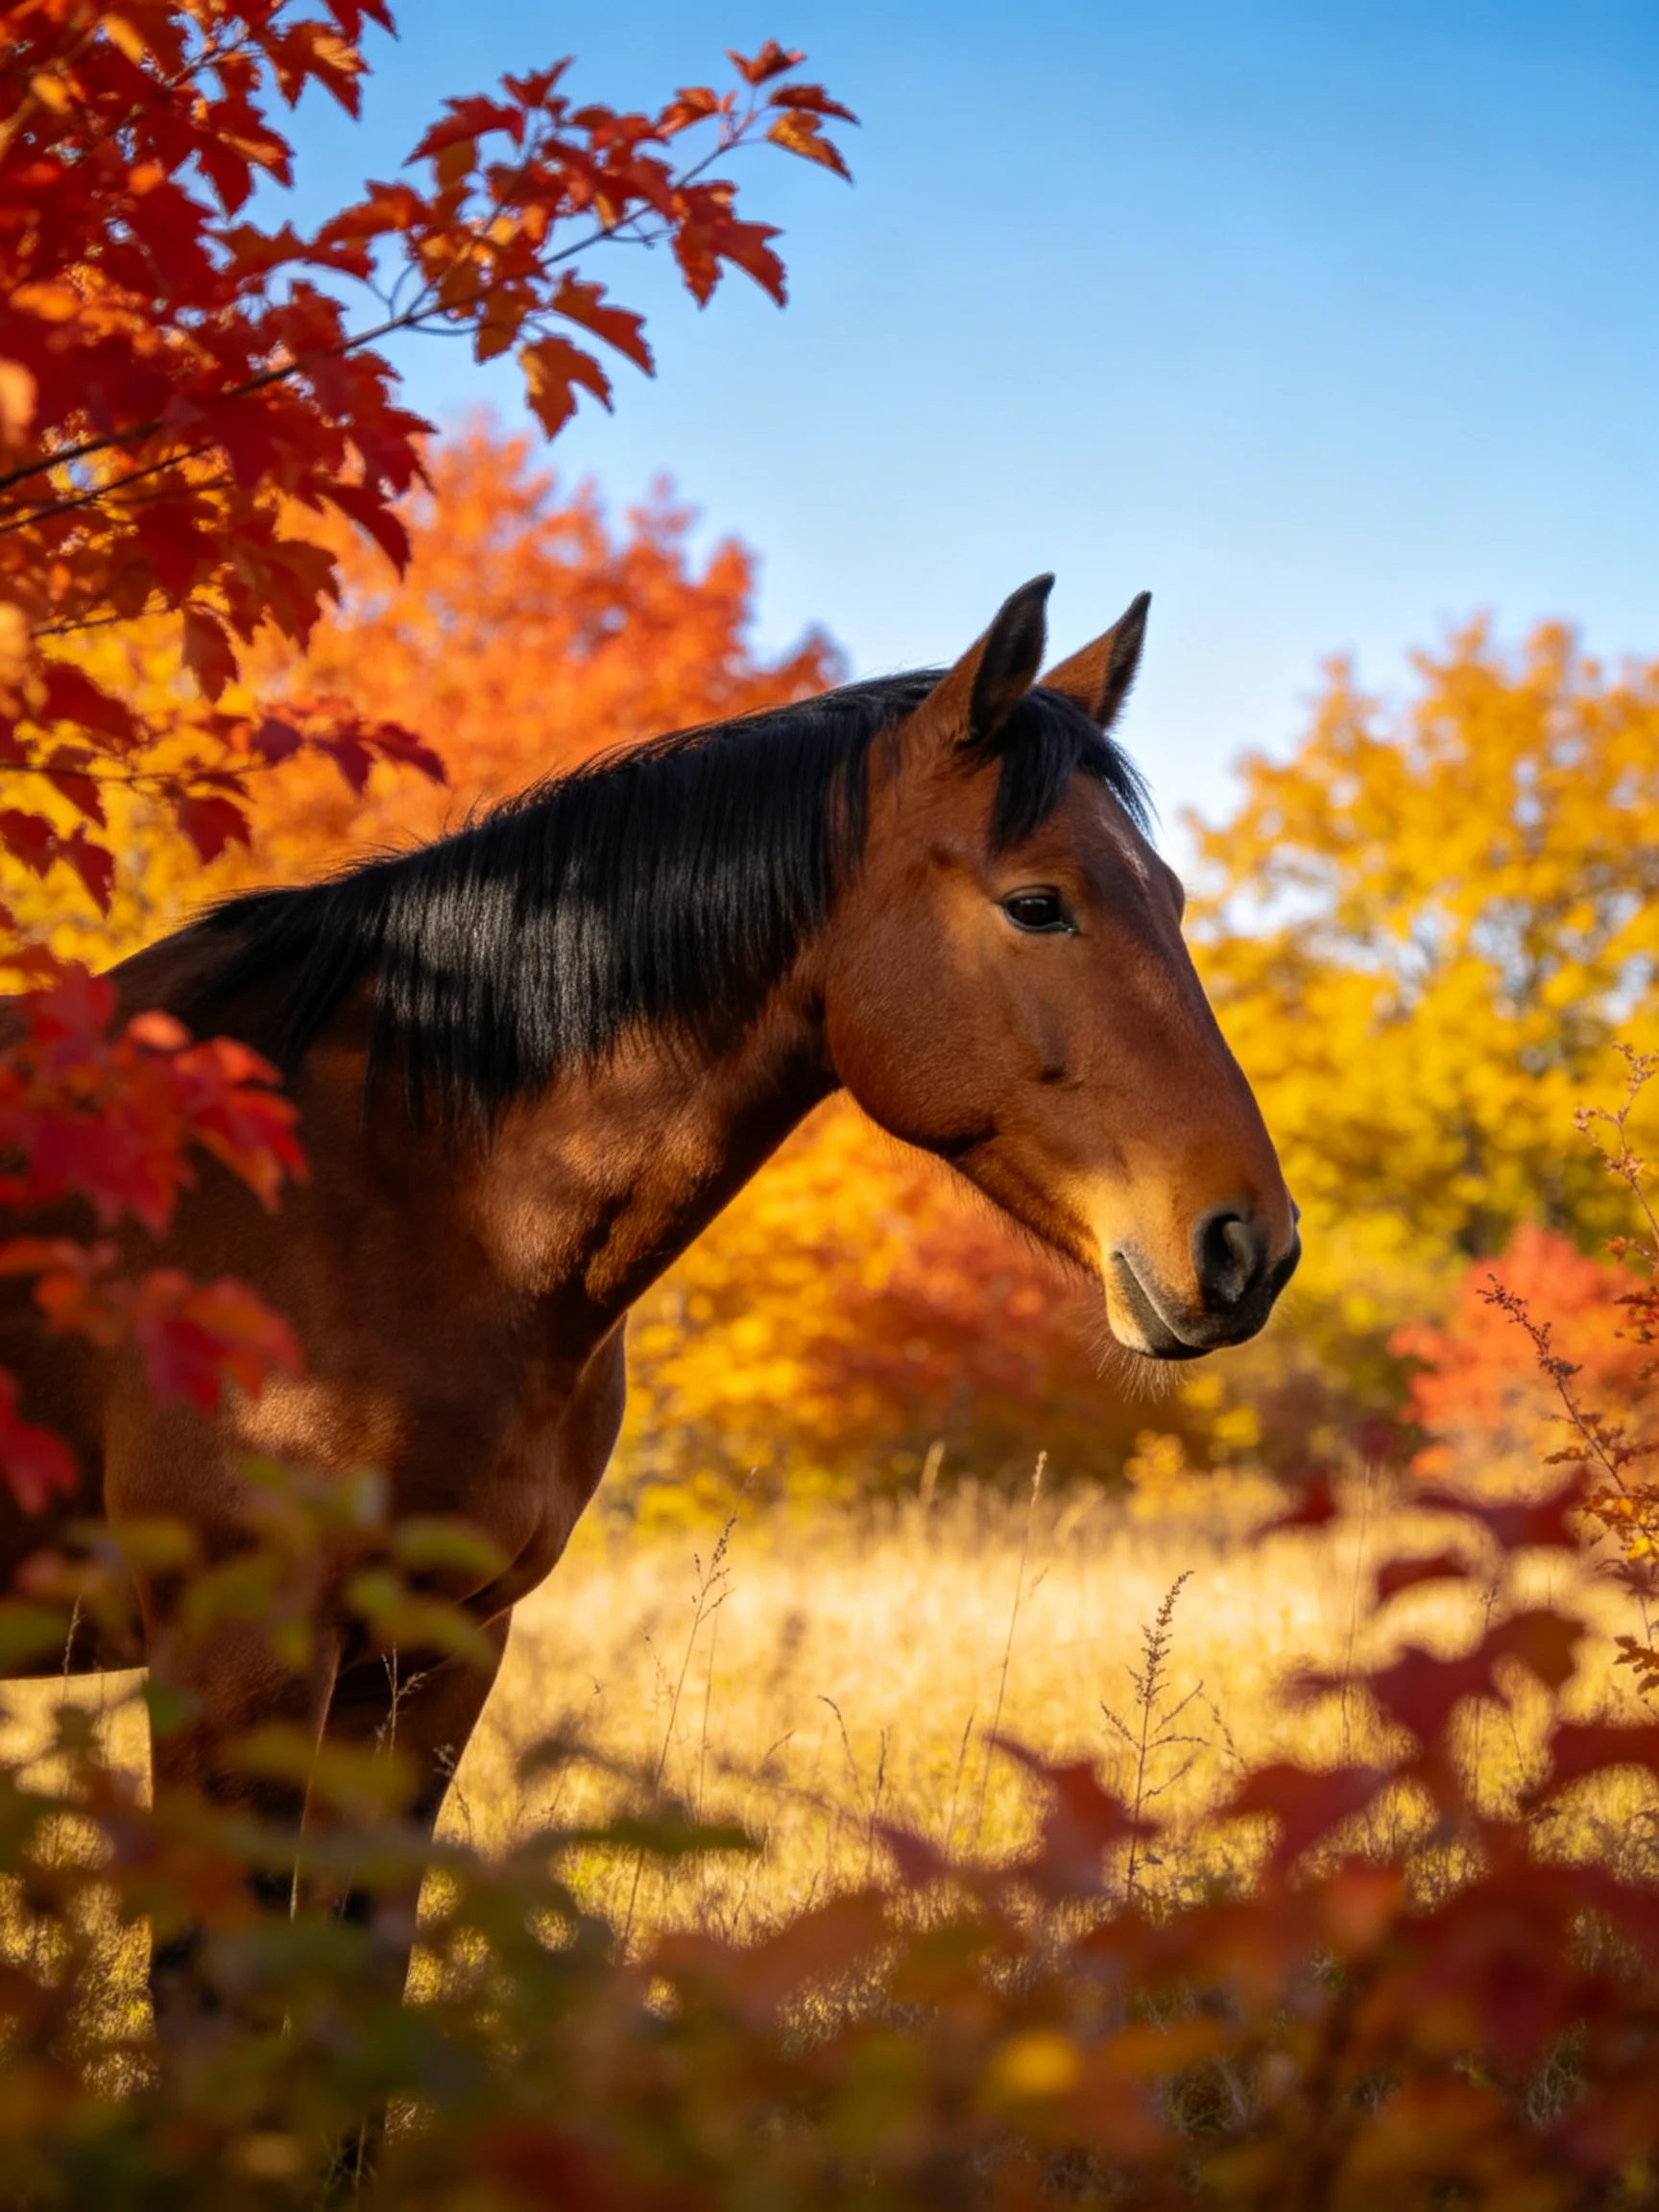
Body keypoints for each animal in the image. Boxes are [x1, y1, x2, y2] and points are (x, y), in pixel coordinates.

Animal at [0, 574, 1298, 2064]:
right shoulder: (237, 1654)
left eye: (1173, 896)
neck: (374, 1185)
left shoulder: (433, 1656)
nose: (1248, 1244)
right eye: (1039, 904)